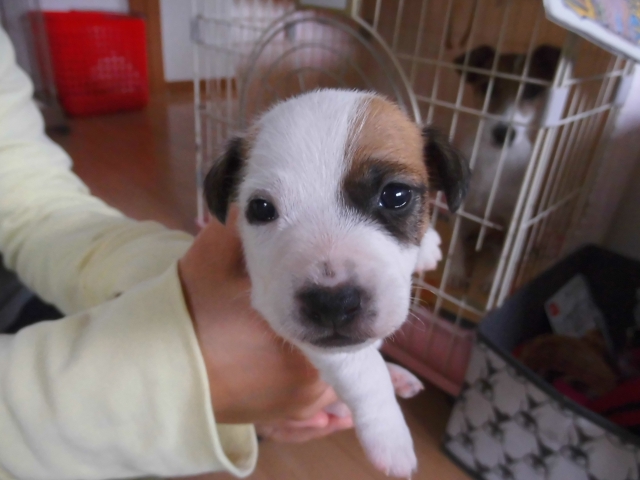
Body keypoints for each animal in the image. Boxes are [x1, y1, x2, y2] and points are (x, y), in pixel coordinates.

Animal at [204, 89, 469, 477]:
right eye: (261, 209)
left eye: (396, 195)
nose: (332, 304)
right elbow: (365, 368)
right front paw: (390, 436)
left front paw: (428, 246)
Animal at [450, 44, 561, 290]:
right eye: (488, 87)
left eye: (531, 91)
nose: (504, 133)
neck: (495, 160)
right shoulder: (463, 208)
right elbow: (456, 241)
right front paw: (457, 270)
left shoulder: (512, 217)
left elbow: (504, 254)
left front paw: (493, 280)